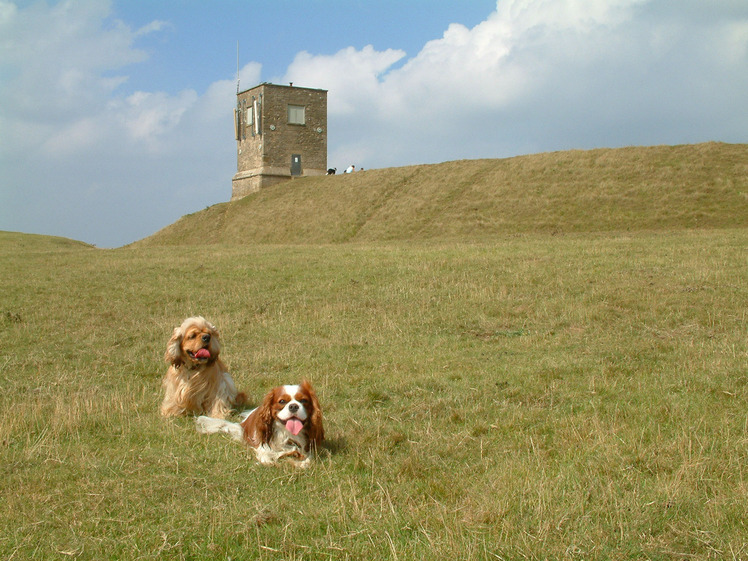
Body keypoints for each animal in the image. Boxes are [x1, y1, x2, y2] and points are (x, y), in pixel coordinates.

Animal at [194, 378, 322, 466]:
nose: (294, 406)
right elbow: (269, 459)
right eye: (282, 401)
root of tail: (242, 424)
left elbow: (307, 460)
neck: (286, 433)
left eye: (304, 400)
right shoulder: (262, 448)